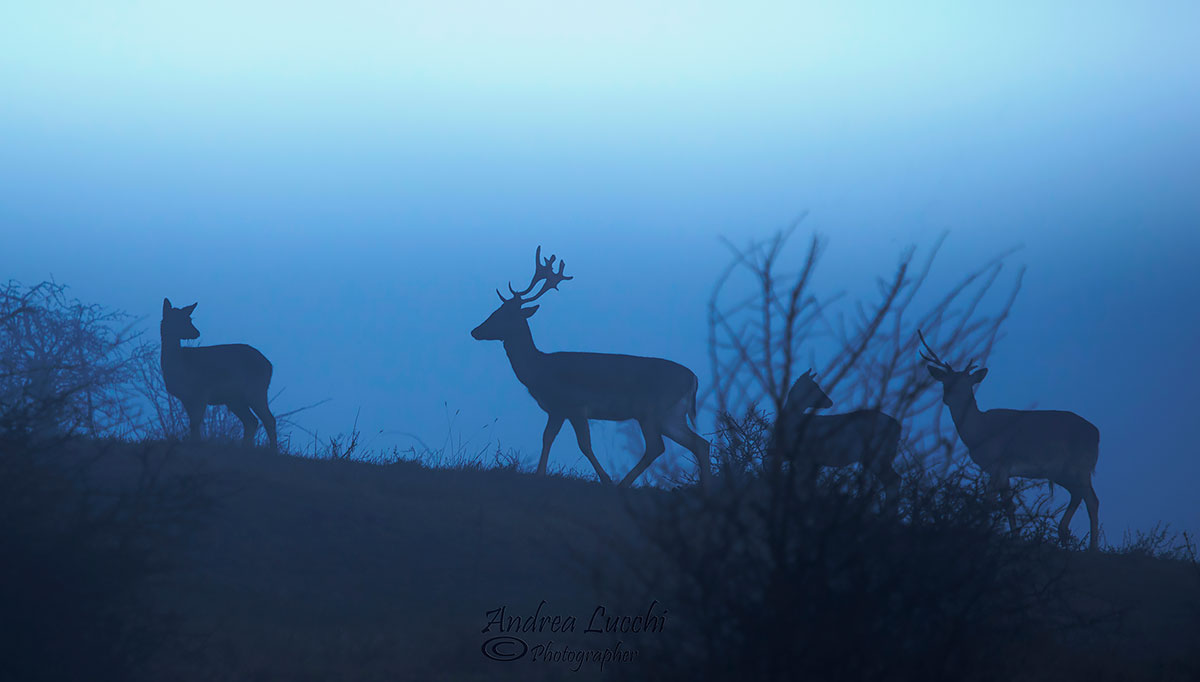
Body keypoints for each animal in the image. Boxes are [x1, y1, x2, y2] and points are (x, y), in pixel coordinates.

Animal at [160, 298, 277, 450]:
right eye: (179, 319)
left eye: (189, 318)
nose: (196, 333)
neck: (179, 366)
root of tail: (270, 366)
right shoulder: (186, 397)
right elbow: (192, 423)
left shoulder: (201, 391)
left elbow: (196, 422)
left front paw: (196, 444)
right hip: (235, 399)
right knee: (251, 421)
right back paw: (246, 447)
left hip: (256, 390)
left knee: (269, 419)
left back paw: (273, 449)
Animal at [471, 247, 712, 490]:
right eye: (496, 310)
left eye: (505, 314)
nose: (475, 331)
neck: (539, 371)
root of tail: (694, 378)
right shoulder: (557, 410)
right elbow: (547, 438)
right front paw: (539, 474)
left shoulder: (575, 405)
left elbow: (584, 444)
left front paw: (605, 478)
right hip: (672, 414)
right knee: (700, 443)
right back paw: (704, 486)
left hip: (652, 410)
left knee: (657, 446)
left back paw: (623, 483)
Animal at [771, 369, 902, 498]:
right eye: (814, 386)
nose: (830, 402)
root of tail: (898, 428)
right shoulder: (810, 460)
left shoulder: (804, 456)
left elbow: (802, 487)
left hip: (879, 453)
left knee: (894, 480)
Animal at [918, 330, 1100, 550]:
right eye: (945, 382)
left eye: (967, 384)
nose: (949, 397)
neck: (979, 432)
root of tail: (1097, 433)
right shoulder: (994, 469)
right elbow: (998, 503)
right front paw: (1000, 536)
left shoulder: (1002, 463)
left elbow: (999, 503)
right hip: (1063, 473)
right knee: (1079, 495)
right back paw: (1066, 535)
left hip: (1080, 466)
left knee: (1092, 500)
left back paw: (1090, 546)